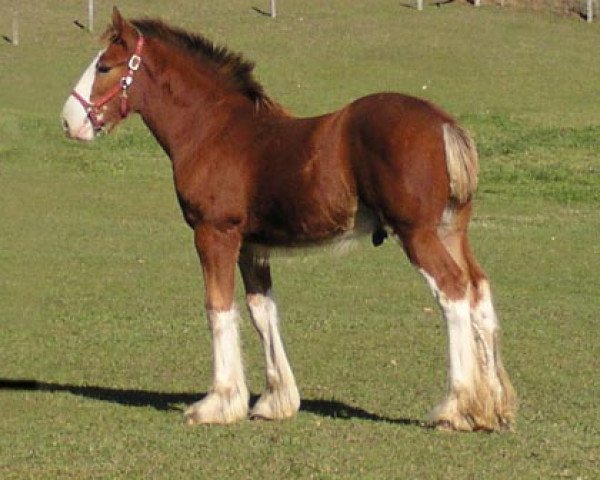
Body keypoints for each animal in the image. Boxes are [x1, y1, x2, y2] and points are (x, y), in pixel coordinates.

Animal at [59, 7, 516, 430]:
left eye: (105, 66)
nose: (68, 121)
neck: (215, 130)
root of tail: (444, 124)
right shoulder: (252, 246)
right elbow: (261, 311)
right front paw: (274, 401)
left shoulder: (214, 234)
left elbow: (218, 308)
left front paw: (216, 403)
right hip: (450, 230)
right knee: (478, 289)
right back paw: (492, 407)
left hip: (417, 233)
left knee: (452, 291)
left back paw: (454, 407)